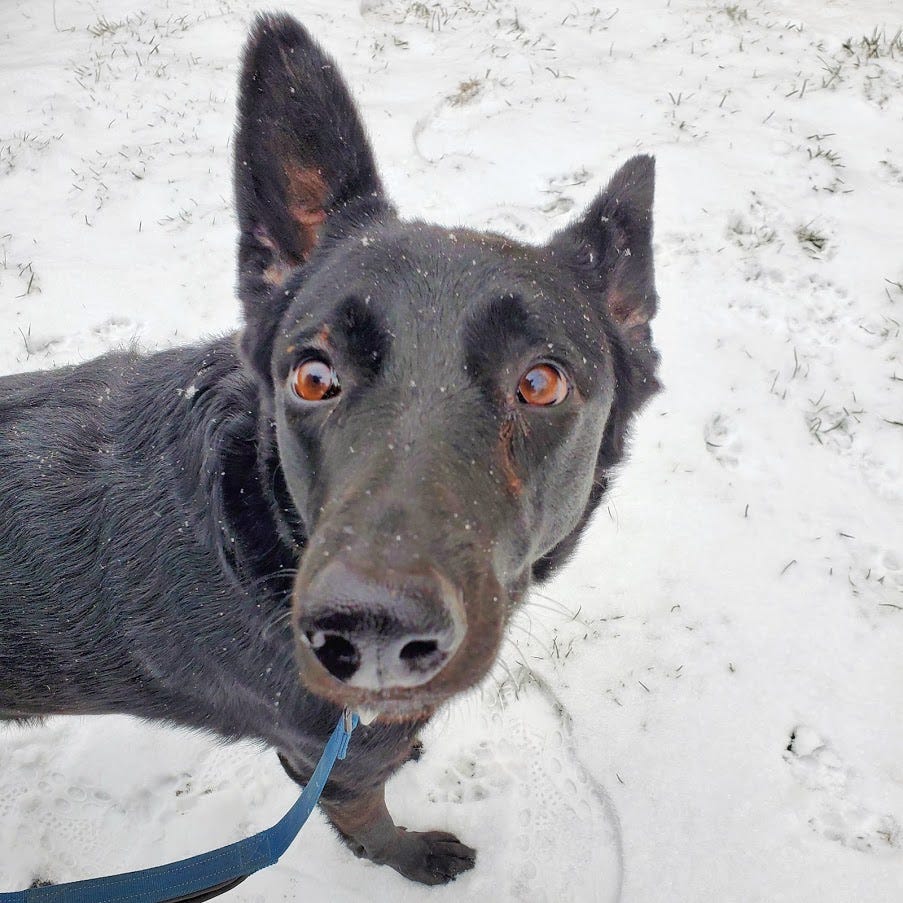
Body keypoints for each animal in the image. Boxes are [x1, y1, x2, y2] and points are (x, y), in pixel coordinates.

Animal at [0, 12, 664, 888]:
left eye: (541, 381)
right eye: (312, 375)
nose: (368, 630)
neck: (265, 540)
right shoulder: (334, 765)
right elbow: (369, 824)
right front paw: (412, 857)